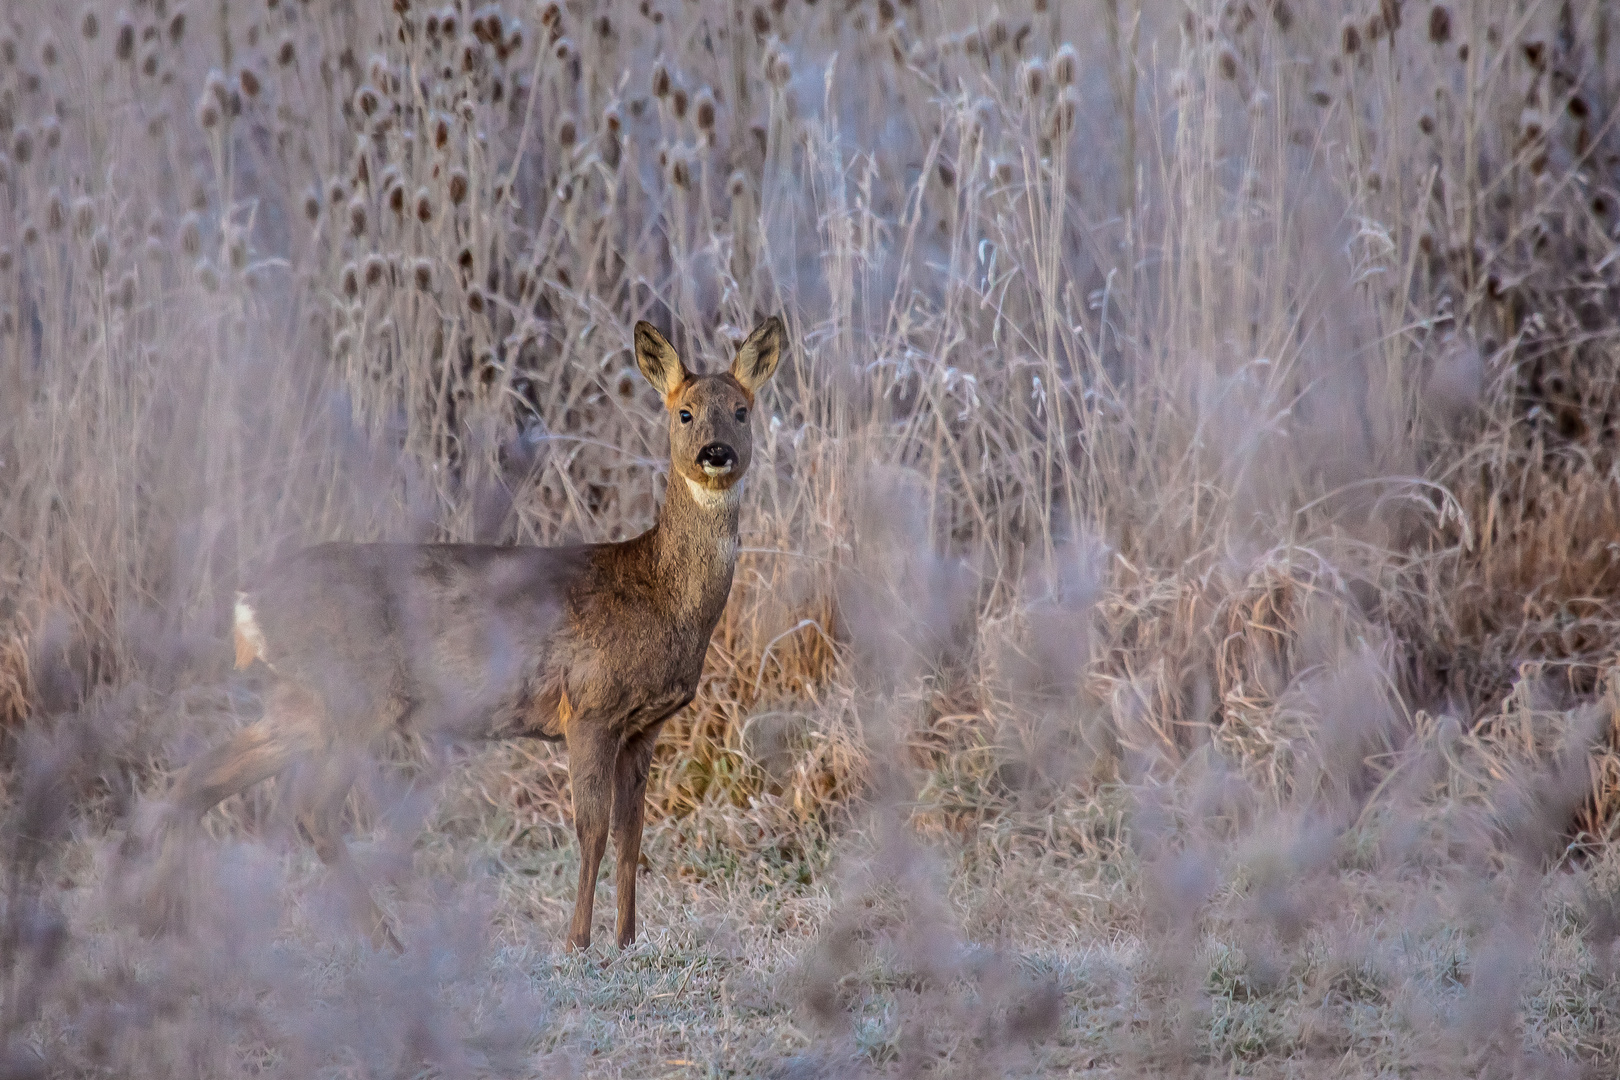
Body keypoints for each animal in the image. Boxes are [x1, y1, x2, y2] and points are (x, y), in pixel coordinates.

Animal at [167, 314, 787, 952]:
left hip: (302, 703)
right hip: (353, 698)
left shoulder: (644, 726)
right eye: (684, 412)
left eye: (742, 410)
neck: (660, 594)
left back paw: (169, 922)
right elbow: (590, 829)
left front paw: (626, 941)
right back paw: (386, 941)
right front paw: (578, 943)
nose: (716, 453)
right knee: (310, 809)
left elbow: (631, 835)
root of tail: (248, 605)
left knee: (197, 778)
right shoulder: (589, 705)